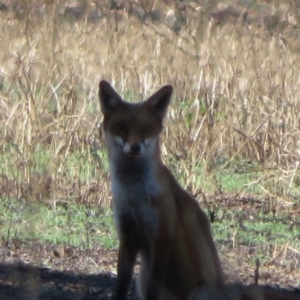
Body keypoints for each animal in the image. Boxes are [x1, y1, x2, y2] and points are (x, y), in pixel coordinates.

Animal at [98, 81, 223, 298]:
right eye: (121, 127)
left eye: (146, 129)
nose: (135, 147)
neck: (135, 197)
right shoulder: (127, 237)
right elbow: (120, 287)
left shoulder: (161, 239)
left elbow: (153, 290)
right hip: (141, 279)